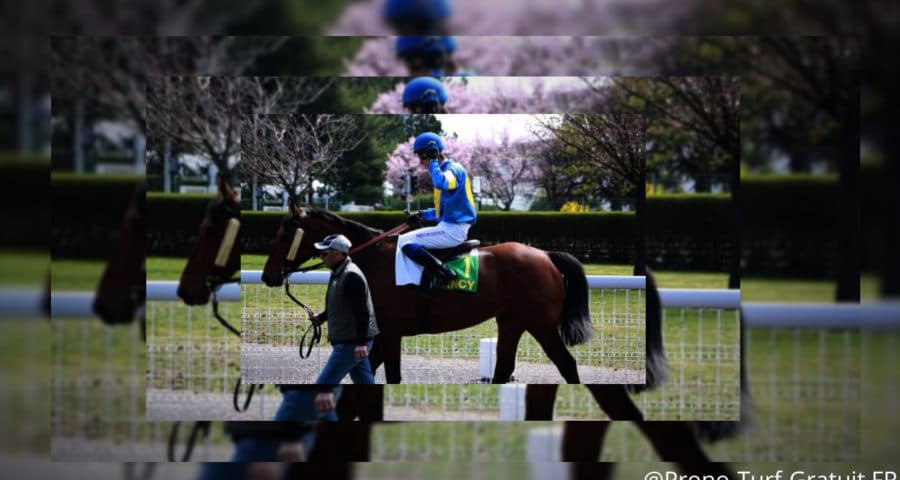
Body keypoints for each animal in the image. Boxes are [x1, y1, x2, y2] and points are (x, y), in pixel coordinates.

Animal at [260, 199, 596, 382]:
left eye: (284, 233)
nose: (267, 275)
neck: (373, 259)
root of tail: (545, 255)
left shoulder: (389, 333)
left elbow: (390, 375)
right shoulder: (383, 335)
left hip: (540, 324)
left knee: (566, 364)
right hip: (512, 322)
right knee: (503, 369)